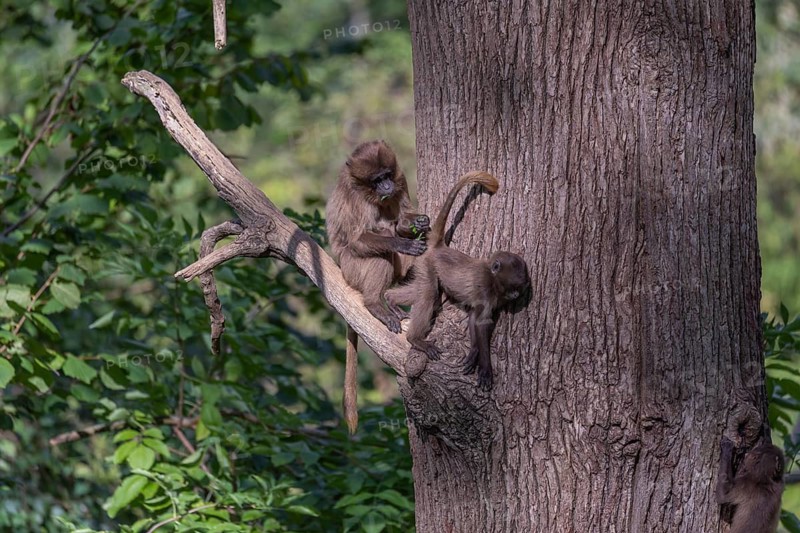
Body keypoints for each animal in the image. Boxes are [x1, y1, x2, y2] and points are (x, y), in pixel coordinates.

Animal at [326, 140, 430, 433]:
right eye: (376, 180)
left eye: (386, 175)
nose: (386, 186)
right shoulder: (354, 197)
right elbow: (359, 238)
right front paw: (402, 243)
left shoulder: (400, 178)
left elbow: (405, 217)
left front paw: (416, 223)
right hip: (351, 268)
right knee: (378, 241)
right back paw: (375, 302)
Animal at [385, 171, 529, 390]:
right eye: (512, 286)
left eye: (519, 287)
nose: (515, 295)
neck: (491, 276)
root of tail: (439, 248)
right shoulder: (485, 289)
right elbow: (481, 322)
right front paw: (485, 370)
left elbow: (474, 318)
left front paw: (474, 353)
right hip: (426, 264)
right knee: (429, 294)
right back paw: (415, 339)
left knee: (425, 292)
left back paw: (390, 298)